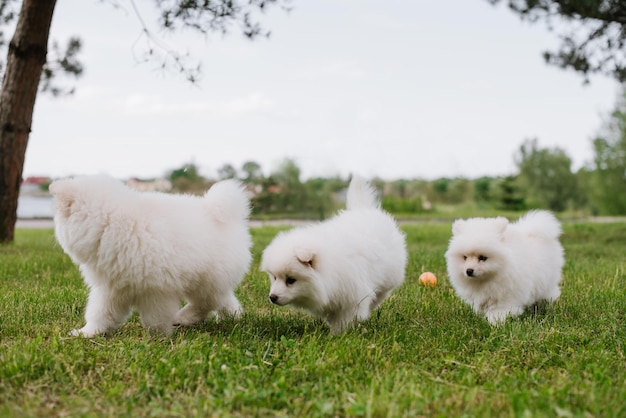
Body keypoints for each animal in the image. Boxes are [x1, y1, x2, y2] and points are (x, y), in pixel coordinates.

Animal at [50, 175, 251, 338]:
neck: (111, 224)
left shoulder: (156, 290)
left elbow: (155, 318)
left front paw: (157, 339)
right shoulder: (111, 287)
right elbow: (100, 313)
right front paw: (87, 332)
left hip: (206, 280)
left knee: (206, 303)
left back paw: (184, 317)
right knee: (223, 300)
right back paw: (233, 315)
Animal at [258, 175, 404, 334]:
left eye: (291, 280)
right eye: (274, 277)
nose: (272, 297)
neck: (329, 270)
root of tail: (363, 208)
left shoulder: (352, 297)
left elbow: (344, 320)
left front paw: (336, 335)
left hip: (390, 276)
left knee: (382, 292)